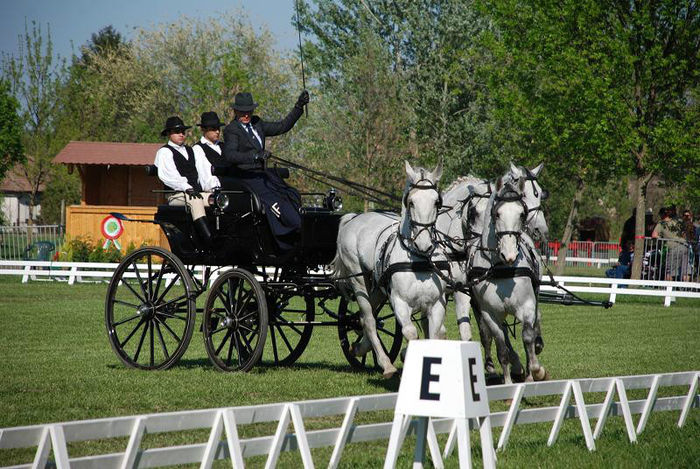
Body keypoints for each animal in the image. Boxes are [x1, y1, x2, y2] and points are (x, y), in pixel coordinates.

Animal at [332, 160, 442, 376]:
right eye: (411, 202)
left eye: (436, 202)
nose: (424, 245)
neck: (417, 262)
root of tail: (355, 218)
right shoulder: (399, 302)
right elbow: (410, 332)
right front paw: (405, 355)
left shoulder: (436, 306)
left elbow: (434, 336)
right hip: (359, 280)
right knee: (368, 319)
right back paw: (386, 364)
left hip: (379, 288)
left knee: (365, 318)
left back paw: (360, 348)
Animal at [470, 174, 548, 382]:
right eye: (497, 214)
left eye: (521, 214)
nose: (510, 255)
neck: (500, 267)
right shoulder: (489, 314)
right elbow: (502, 348)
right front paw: (507, 381)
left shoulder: (527, 306)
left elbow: (528, 337)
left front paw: (536, 371)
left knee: (535, 325)